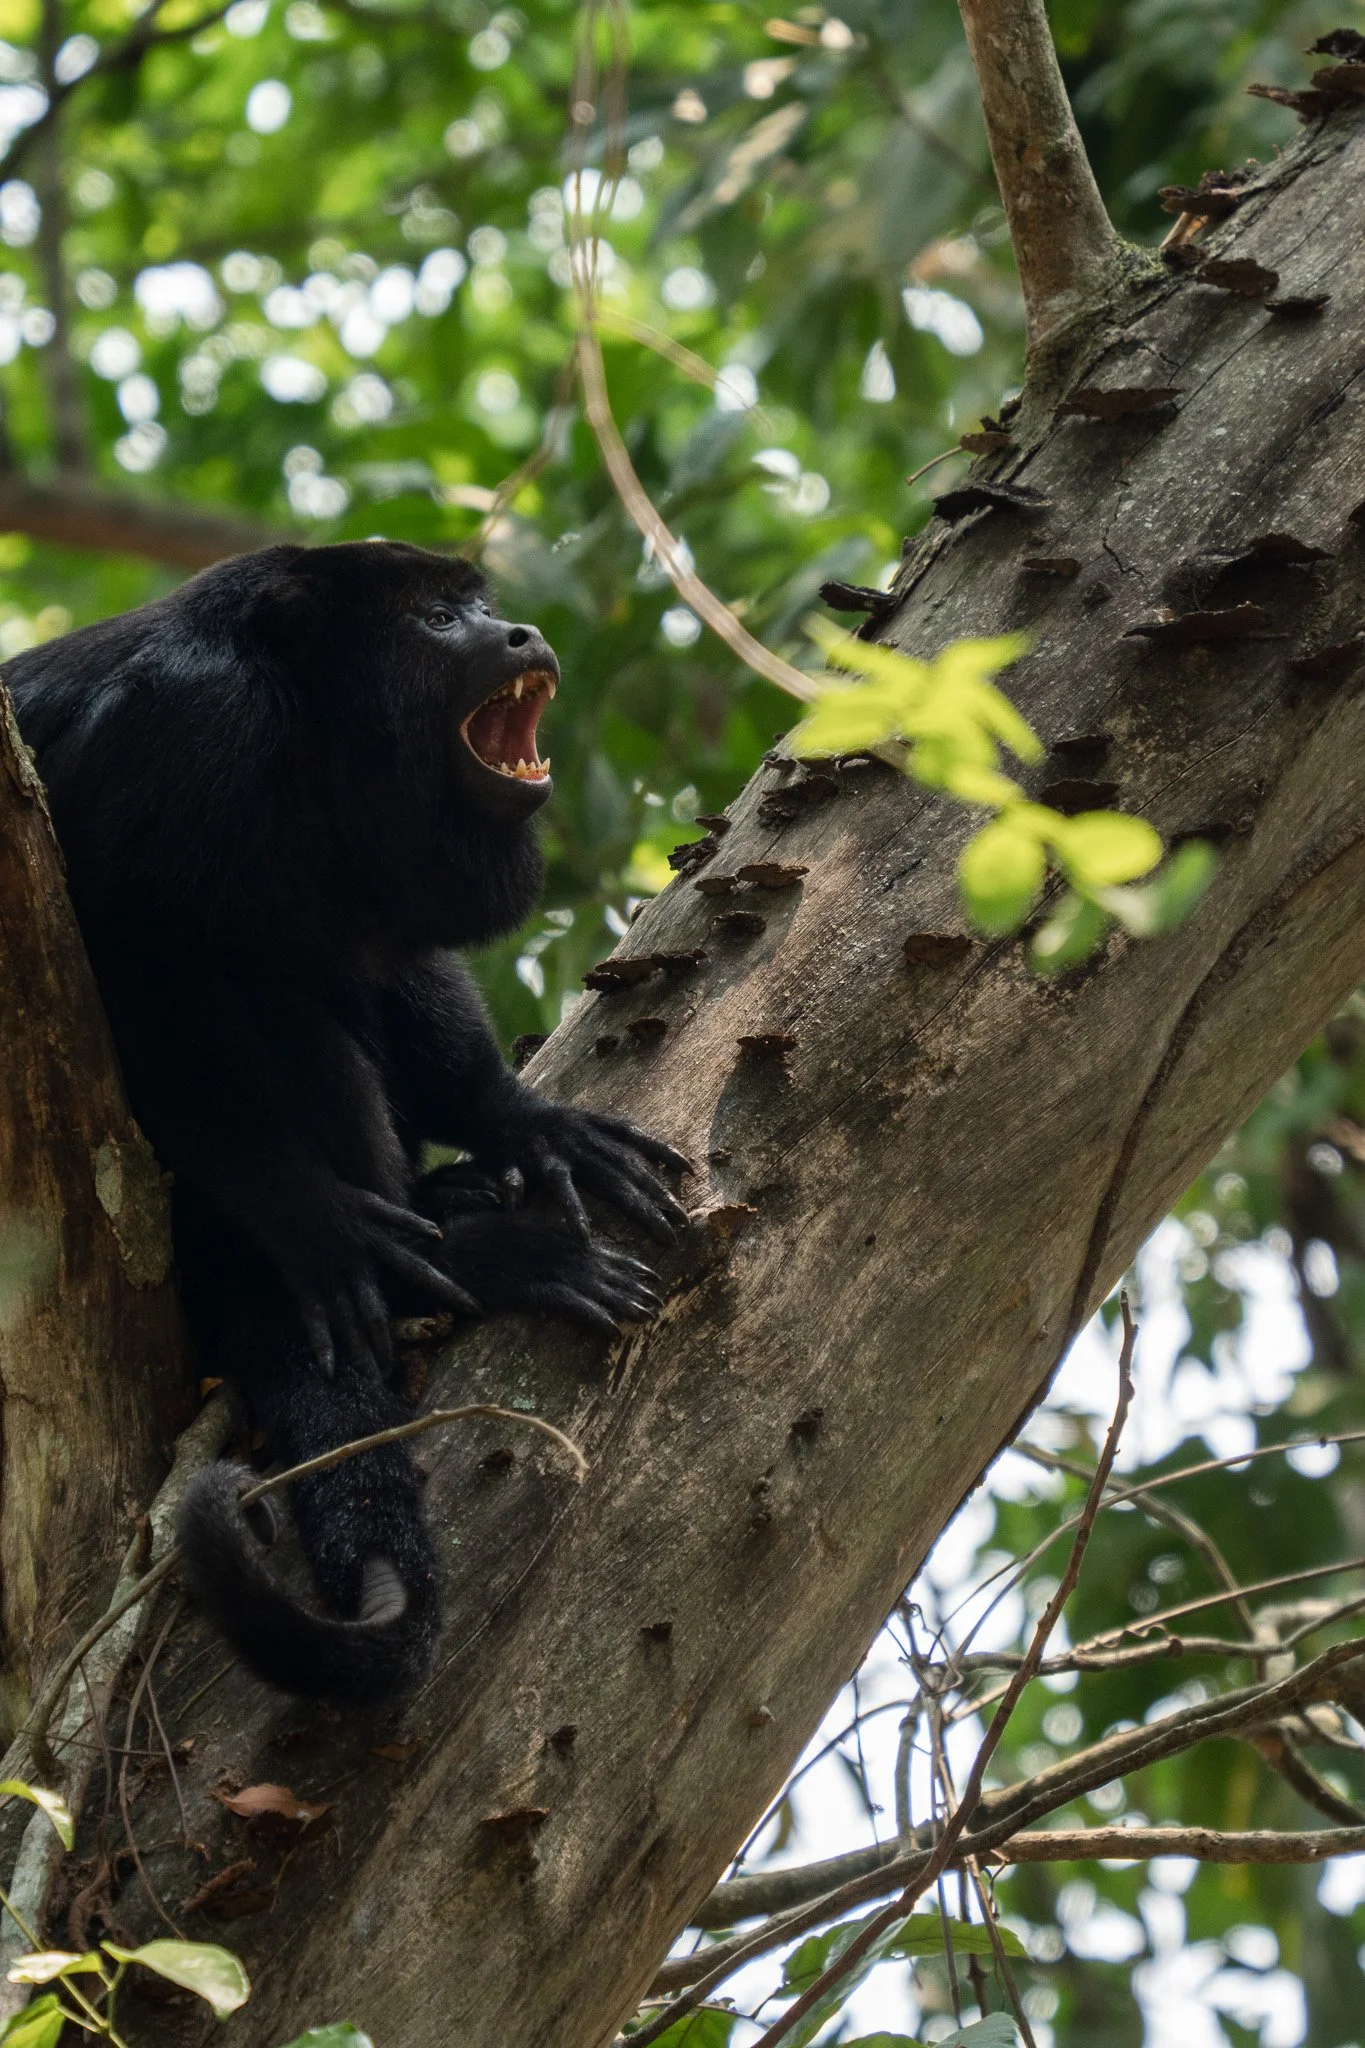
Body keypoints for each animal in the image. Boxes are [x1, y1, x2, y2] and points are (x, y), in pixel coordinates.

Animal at [5, 539, 688, 1702]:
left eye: (476, 604)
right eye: (434, 621)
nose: (516, 631)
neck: (309, 736)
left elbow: (388, 958)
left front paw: (522, 1122)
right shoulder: (182, 730)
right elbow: (126, 946)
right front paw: (316, 1218)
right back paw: (466, 1258)